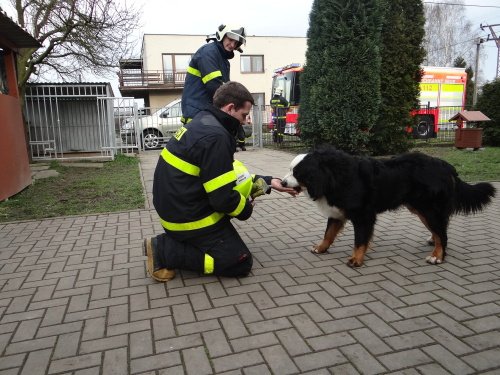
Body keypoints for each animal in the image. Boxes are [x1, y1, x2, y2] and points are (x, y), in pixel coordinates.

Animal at [282, 146, 496, 268]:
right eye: (291, 171)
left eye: (297, 173)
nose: (283, 183)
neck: (334, 177)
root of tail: (446, 166)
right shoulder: (337, 212)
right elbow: (328, 233)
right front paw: (321, 248)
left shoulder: (363, 215)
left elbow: (360, 240)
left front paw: (356, 259)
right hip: (420, 209)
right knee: (440, 229)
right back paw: (433, 243)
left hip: (427, 208)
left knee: (442, 233)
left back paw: (437, 256)